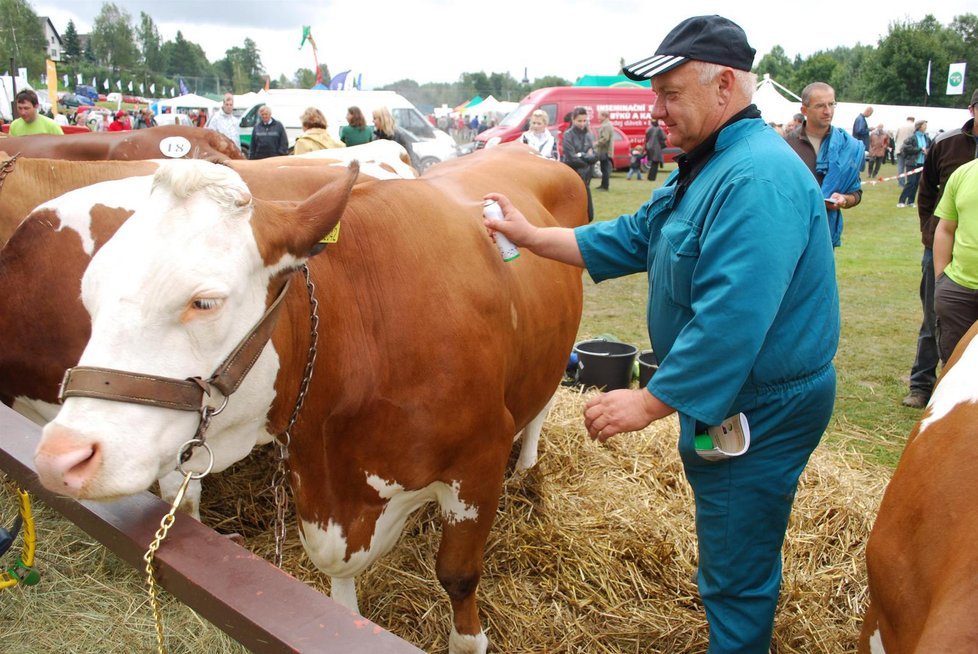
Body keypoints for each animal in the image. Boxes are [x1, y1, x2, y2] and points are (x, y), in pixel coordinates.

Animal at [32, 144, 580, 652]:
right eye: (88, 292)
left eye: (204, 302)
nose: (61, 457)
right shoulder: (318, 482)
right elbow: (333, 578)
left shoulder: (478, 463)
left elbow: (458, 576)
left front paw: (468, 638)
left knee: (541, 408)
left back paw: (527, 467)